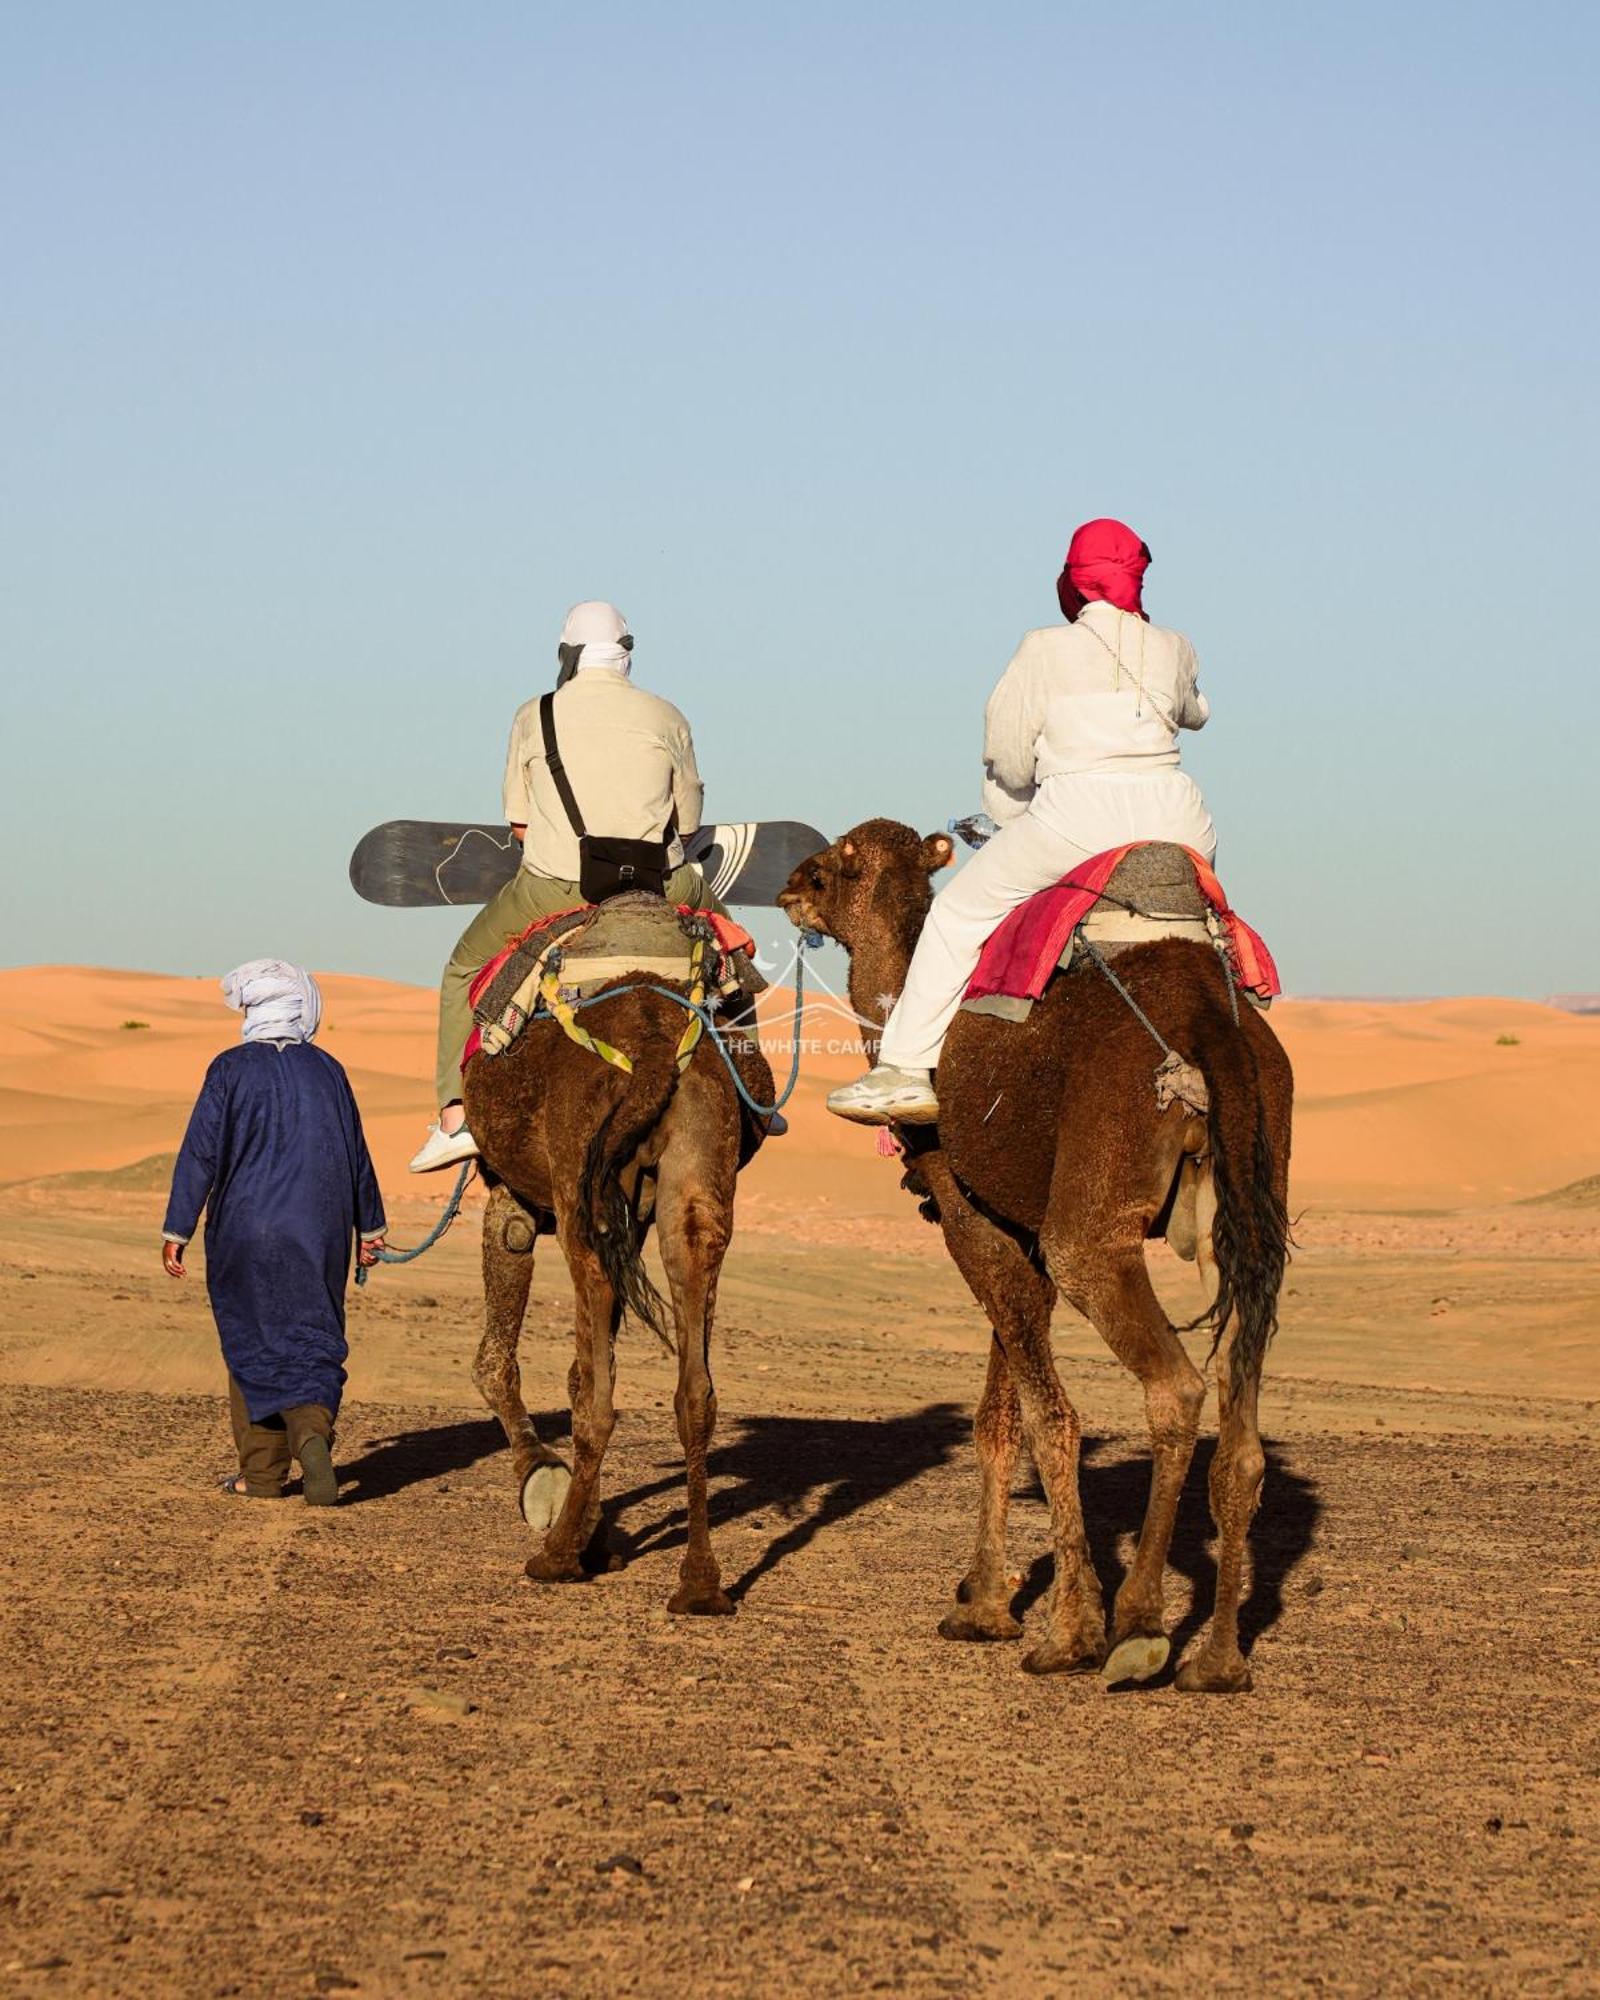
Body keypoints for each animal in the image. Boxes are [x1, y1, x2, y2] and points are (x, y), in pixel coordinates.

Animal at [780, 820, 1296, 1696]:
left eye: (836, 862)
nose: (789, 885)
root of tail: (1210, 1023)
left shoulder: (969, 1216)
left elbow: (1051, 1416)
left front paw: (1065, 1629)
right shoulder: (1011, 1226)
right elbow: (998, 1417)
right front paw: (980, 1604)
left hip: (1093, 1214)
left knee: (1174, 1386)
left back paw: (1136, 1628)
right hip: (1252, 1205)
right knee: (1243, 1427)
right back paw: (1219, 1659)